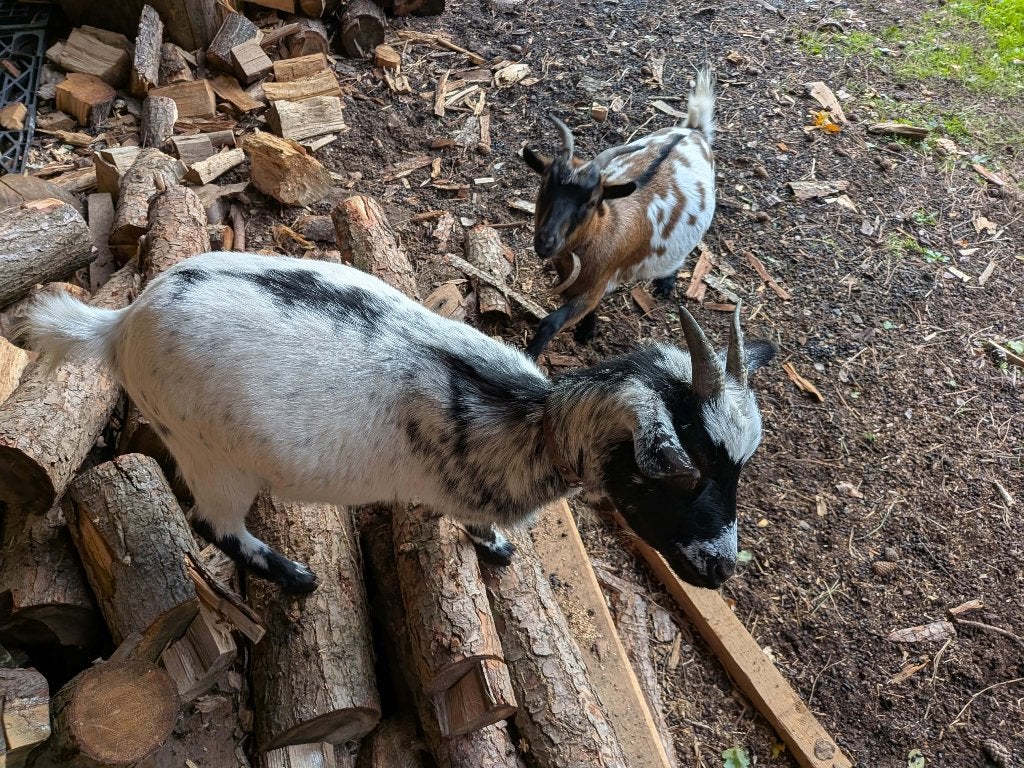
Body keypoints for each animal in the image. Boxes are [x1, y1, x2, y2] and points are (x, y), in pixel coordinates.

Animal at [22, 252, 775, 593]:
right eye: (681, 471)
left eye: (740, 466)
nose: (721, 569)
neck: (529, 423)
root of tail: (119, 325)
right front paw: (495, 549)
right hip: (209, 453)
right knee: (216, 526)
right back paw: (295, 577)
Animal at [521, 66, 717, 359]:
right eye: (544, 186)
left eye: (592, 201)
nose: (546, 241)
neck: (605, 229)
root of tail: (694, 131)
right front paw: (586, 331)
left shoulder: (596, 284)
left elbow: (551, 322)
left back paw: (666, 283)